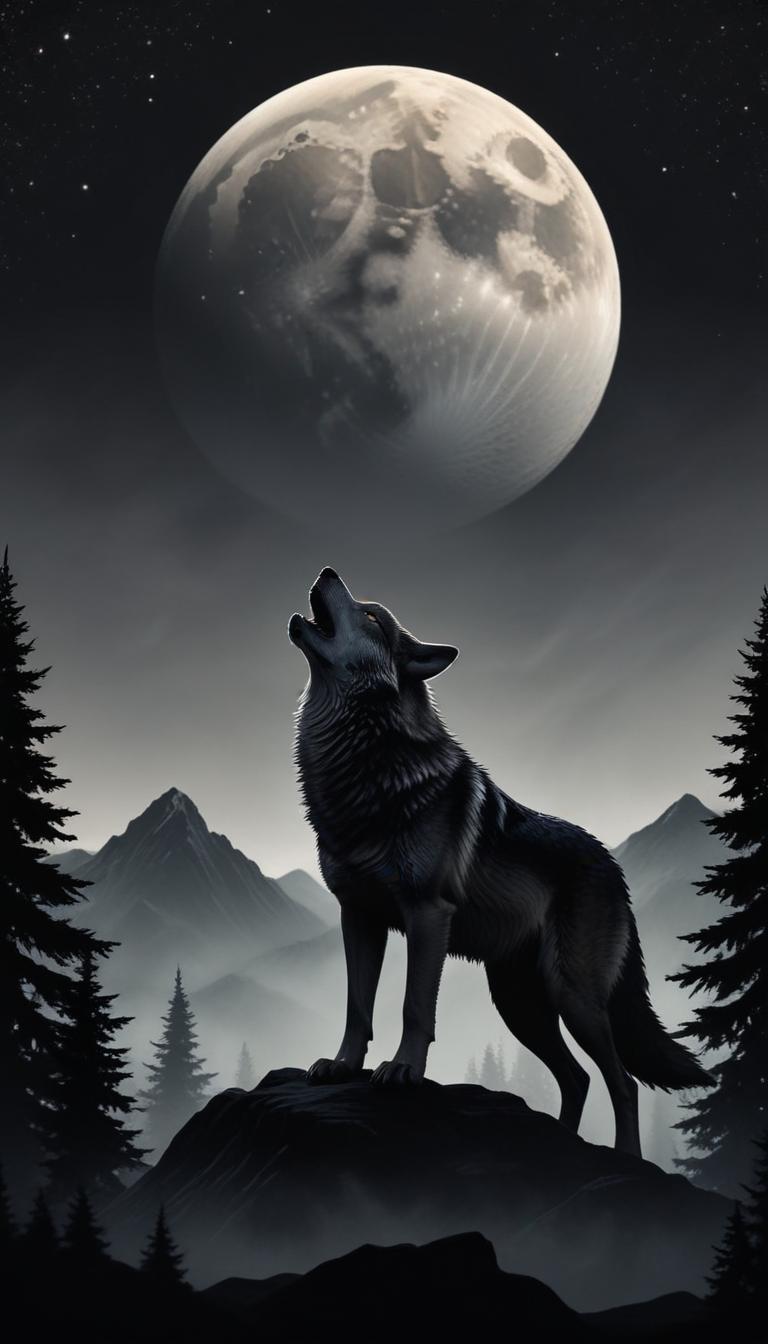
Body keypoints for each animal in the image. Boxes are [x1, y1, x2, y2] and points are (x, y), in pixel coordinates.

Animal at [288, 568, 710, 1155]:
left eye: (371, 615)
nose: (327, 571)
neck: (363, 767)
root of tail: (612, 866)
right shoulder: (359, 916)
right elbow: (357, 1004)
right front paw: (343, 1065)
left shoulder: (427, 914)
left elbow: (414, 1005)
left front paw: (402, 1071)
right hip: (519, 1006)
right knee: (577, 1078)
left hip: (573, 998)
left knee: (621, 1081)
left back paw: (627, 1157)